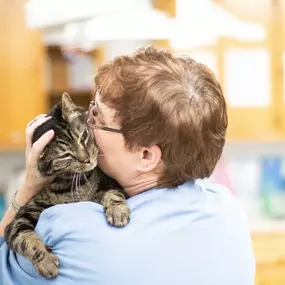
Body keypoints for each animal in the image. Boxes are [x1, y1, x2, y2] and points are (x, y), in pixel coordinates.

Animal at [3, 92, 130, 278]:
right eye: (65, 155)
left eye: (83, 137)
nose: (87, 159)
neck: (68, 184)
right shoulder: (21, 218)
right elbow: (24, 238)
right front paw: (45, 260)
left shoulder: (111, 183)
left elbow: (112, 194)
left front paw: (117, 211)